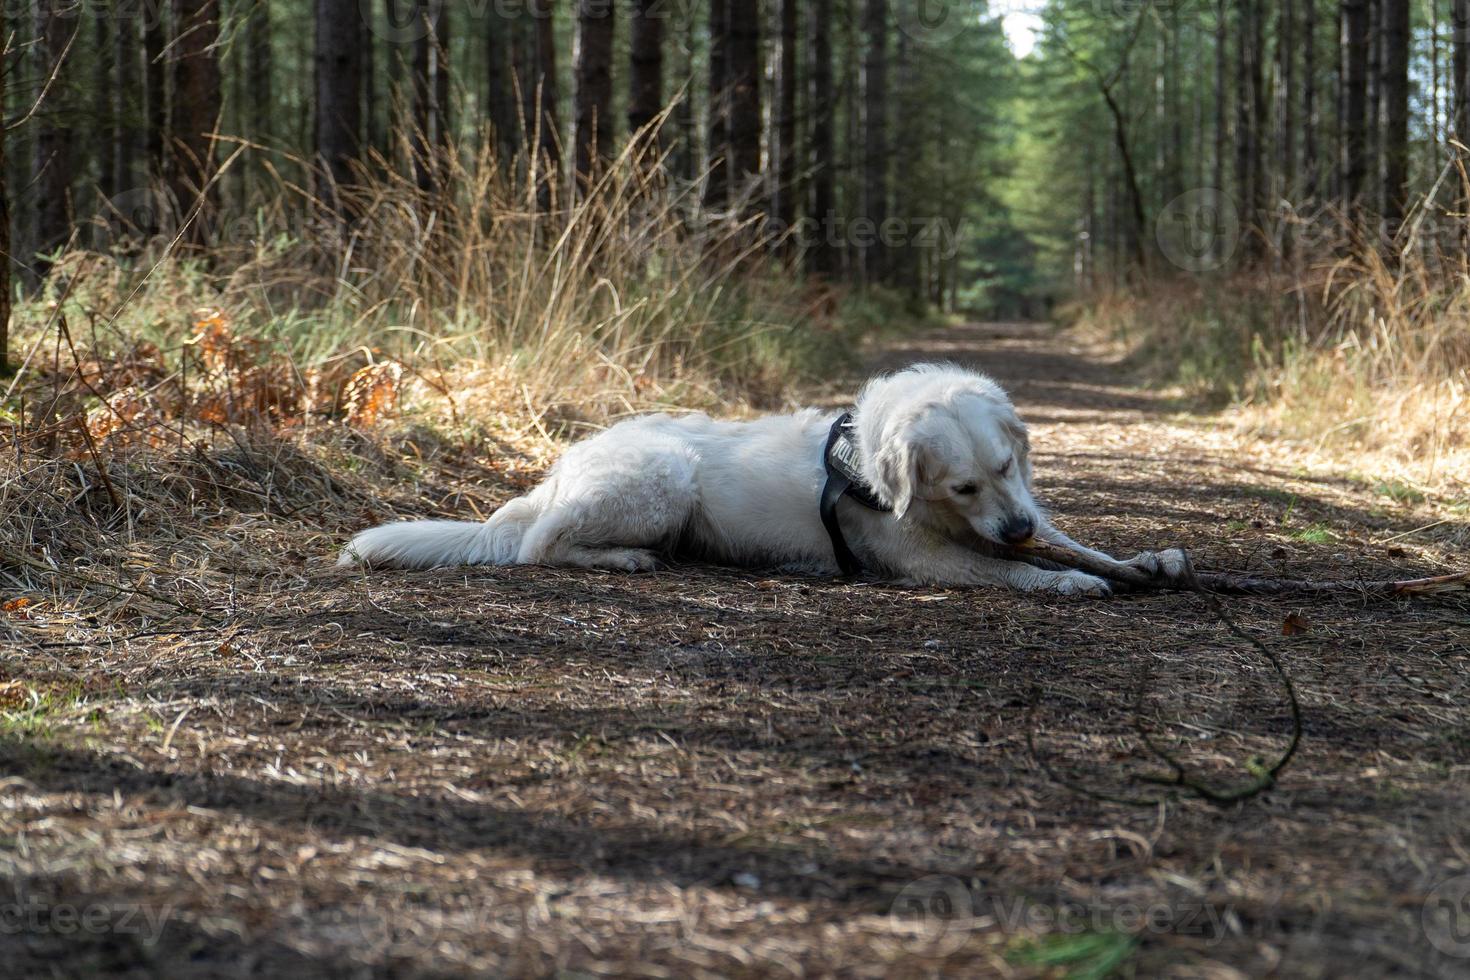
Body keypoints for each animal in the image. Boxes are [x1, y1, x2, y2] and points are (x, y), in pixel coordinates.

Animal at [341, 359, 1181, 593]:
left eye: (1008, 467)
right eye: (962, 485)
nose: (1015, 525)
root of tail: (560, 469)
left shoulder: (1025, 513)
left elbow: (1075, 541)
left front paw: (1146, 560)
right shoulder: (928, 556)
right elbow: (1012, 571)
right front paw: (1067, 582)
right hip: (663, 478)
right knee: (536, 546)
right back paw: (624, 557)